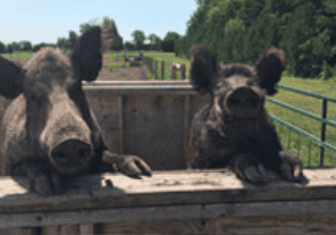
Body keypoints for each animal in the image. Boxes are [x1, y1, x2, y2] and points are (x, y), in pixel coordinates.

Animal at [189, 43, 304, 184]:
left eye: (255, 85)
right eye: (219, 86)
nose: (242, 90)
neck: (243, 141)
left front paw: (294, 175)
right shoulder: (199, 160)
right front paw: (256, 174)